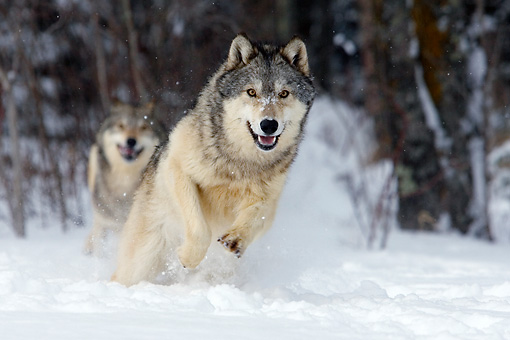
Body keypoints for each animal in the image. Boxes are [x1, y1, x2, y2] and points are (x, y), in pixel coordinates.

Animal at [111, 33, 314, 286]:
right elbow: (200, 229)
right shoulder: (178, 170)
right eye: (251, 92)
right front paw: (188, 257)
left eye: (284, 93)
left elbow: (255, 216)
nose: (269, 124)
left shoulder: (268, 200)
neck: (240, 164)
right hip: (140, 262)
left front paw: (236, 239)